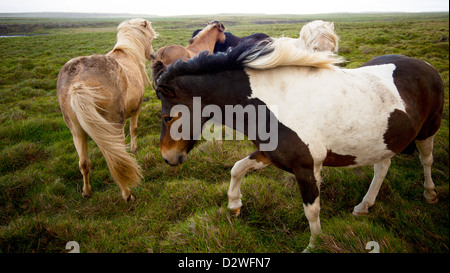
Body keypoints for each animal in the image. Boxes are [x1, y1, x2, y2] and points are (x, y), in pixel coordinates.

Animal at [57, 18, 158, 200]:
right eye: (150, 38)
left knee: (84, 163)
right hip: (114, 125)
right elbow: (134, 129)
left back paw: (87, 191)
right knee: (115, 157)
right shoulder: (136, 109)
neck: (128, 53)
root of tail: (78, 83)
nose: (152, 54)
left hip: (77, 131)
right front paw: (134, 149)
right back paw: (127, 194)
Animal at [153, 38, 444, 251]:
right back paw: (364, 206)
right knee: (382, 168)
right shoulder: (270, 154)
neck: (275, 102)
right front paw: (234, 206)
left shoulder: (306, 169)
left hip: (427, 131)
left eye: (167, 117)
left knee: (426, 160)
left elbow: (312, 212)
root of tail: (426, 65)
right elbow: (237, 168)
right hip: (383, 140)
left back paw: (429, 194)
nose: (168, 157)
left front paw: (315, 245)